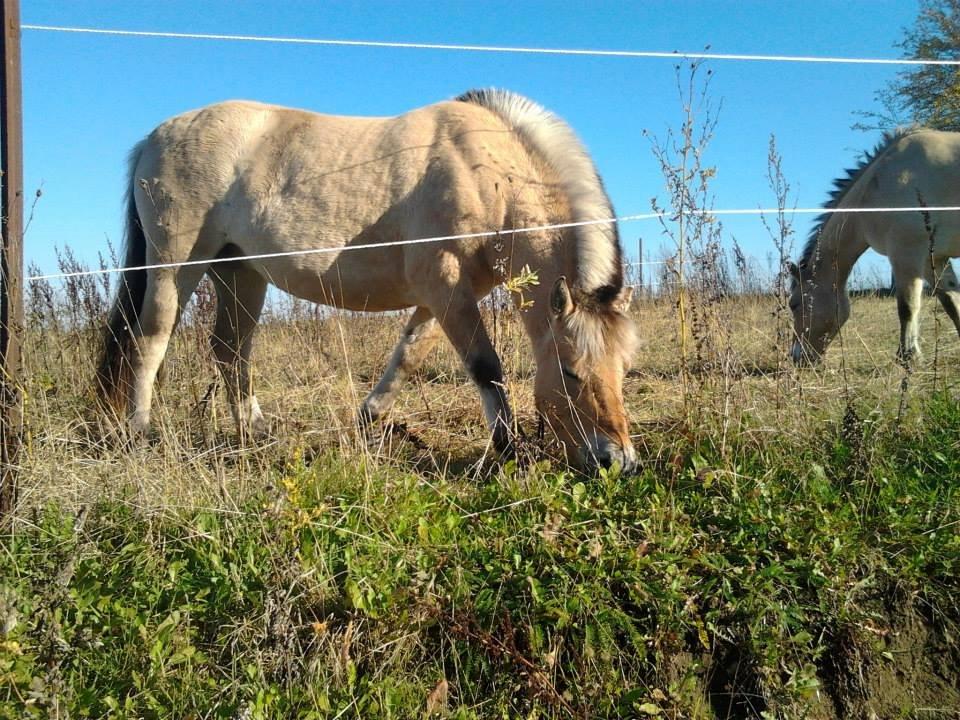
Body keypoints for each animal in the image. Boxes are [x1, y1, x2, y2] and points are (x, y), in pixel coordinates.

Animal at [95, 90, 636, 472]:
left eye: (624, 370)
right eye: (570, 371)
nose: (617, 462)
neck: (486, 173)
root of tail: (154, 137)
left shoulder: (444, 295)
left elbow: (407, 357)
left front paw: (366, 421)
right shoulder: (445, 286)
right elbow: (486, 367)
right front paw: (507, 449)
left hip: (240, 272)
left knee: (230, 351)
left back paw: (256, 434)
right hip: (175, 266)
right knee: (149, 341)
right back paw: (140, 433)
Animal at [788, 127, 960, 366]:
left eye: (794, 304)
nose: (797, 357)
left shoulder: (906, 254)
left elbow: (907, 307)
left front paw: (908, 357)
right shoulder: (932, 258)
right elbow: (952, 302)